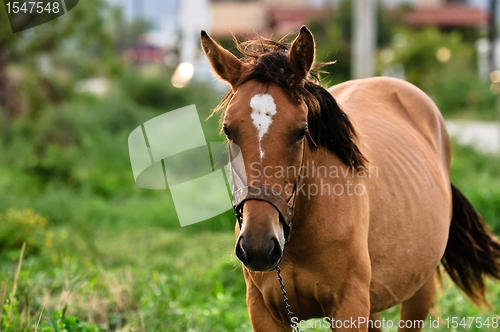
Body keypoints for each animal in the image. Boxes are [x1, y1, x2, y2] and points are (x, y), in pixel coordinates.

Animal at [199, 26, 500, 332]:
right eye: (228, 131)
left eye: (301, 131)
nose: (259, 246)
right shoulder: (263, 312)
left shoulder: (348, 308)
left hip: (419, 289)